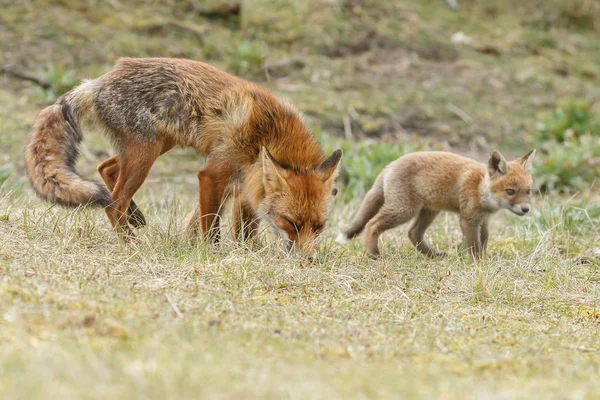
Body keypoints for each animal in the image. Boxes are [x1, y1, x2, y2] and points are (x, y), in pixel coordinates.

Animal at [25, 57, 342, 258]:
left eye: (319, 227)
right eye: (292, 223)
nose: (309, 261)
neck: (270, 133)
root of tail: (97, 82)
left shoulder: (244, 183)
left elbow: (237, 226)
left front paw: (246, 251)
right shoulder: (214, 174)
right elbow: (211, 226)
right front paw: (211, 254)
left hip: (157, 146)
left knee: (106, 167)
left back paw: (135, 217)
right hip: (145, 154)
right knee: (113, 202)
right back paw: (131, 243)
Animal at [336, 150, 536, 260]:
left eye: (528, 191)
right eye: (510, 191)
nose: (526, 209)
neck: (480, 188)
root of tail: (389, 165)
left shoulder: (483, 221)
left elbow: (483, 242)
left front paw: (485, 260)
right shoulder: (467, 220)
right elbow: (474, 247)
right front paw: (479, 264)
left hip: (429, 211)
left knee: (413, 233)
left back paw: (433, 255)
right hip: (404, 210)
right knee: (371, 224)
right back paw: (373, 255)